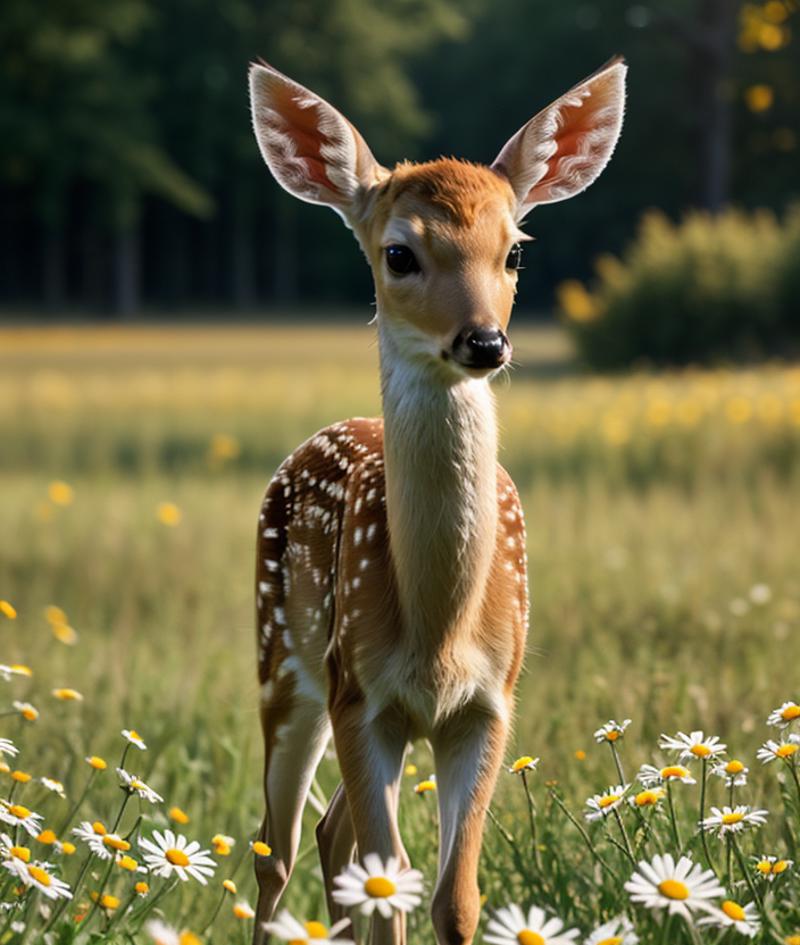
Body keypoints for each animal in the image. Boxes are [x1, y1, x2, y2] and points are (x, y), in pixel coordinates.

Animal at [248, 55, 624, 940]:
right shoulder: (360, 692)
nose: (484, 340)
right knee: (277, 847)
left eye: (515, 252)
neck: (439, 631)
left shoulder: (491, 702)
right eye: (399, 253)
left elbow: (453, 896)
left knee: (331, 835)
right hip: (283, 660)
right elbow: (392, 883)